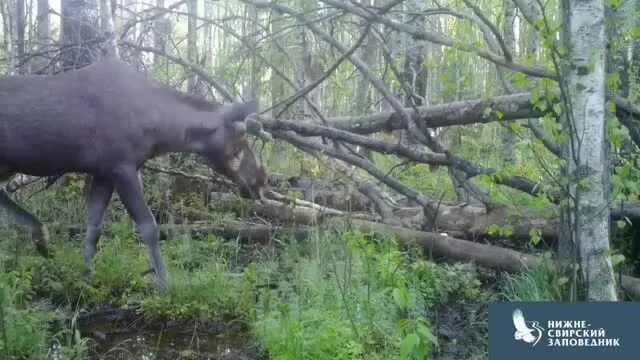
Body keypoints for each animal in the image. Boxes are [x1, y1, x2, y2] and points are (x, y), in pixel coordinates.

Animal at [0, 59, 268, 290]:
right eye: (240, 142)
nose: (261, 180)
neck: (158, 130)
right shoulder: (122, 167)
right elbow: (149, 227)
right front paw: (164, 284)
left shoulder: (104, 172)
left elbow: (93, 229)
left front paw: (85, 279)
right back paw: (40, 237)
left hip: (7, 166)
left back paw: (40, 238)